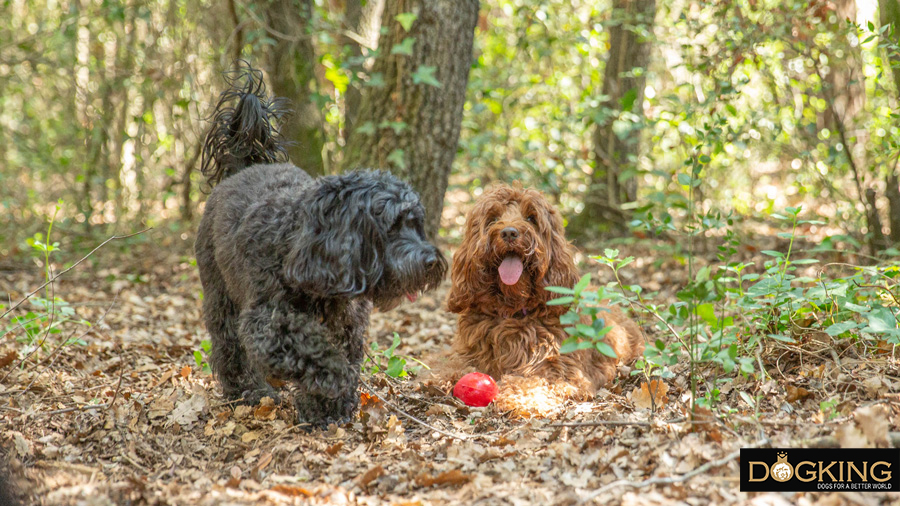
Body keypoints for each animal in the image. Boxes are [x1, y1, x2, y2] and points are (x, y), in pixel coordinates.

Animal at [198, 62, 450, 426]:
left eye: (416, 223)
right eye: (390, 226)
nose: (431, 262)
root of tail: (245, 165)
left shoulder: (348, 321)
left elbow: (340, 350)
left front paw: (328, 409)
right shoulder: (268, 321)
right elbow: (315, 351)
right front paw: (335, 381)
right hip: (221, 296)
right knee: (229, 349)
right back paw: (249, 391)